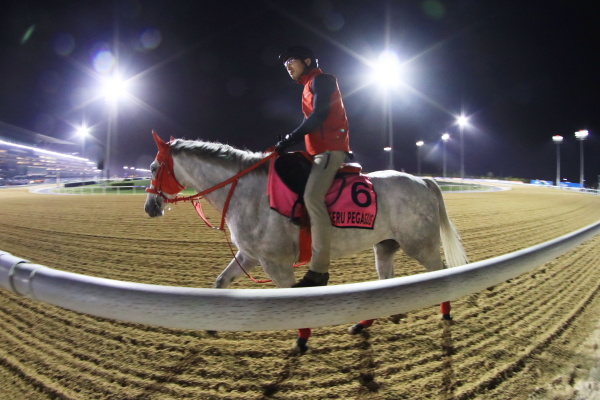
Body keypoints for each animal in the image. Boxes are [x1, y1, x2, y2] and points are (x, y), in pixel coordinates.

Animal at [144, 134, 468, 350]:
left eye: (152, 167)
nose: (149, 207)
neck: (248, 193)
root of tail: (422, 181)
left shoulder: (275, 264)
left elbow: (294, 300)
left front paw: (302, 340)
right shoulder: (249, 256)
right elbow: (221, 282)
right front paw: (212, 324)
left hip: (420, 246)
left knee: (441, 273)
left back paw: (445, 312)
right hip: (385, 246)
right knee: (385, 284)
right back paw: (363, 323)